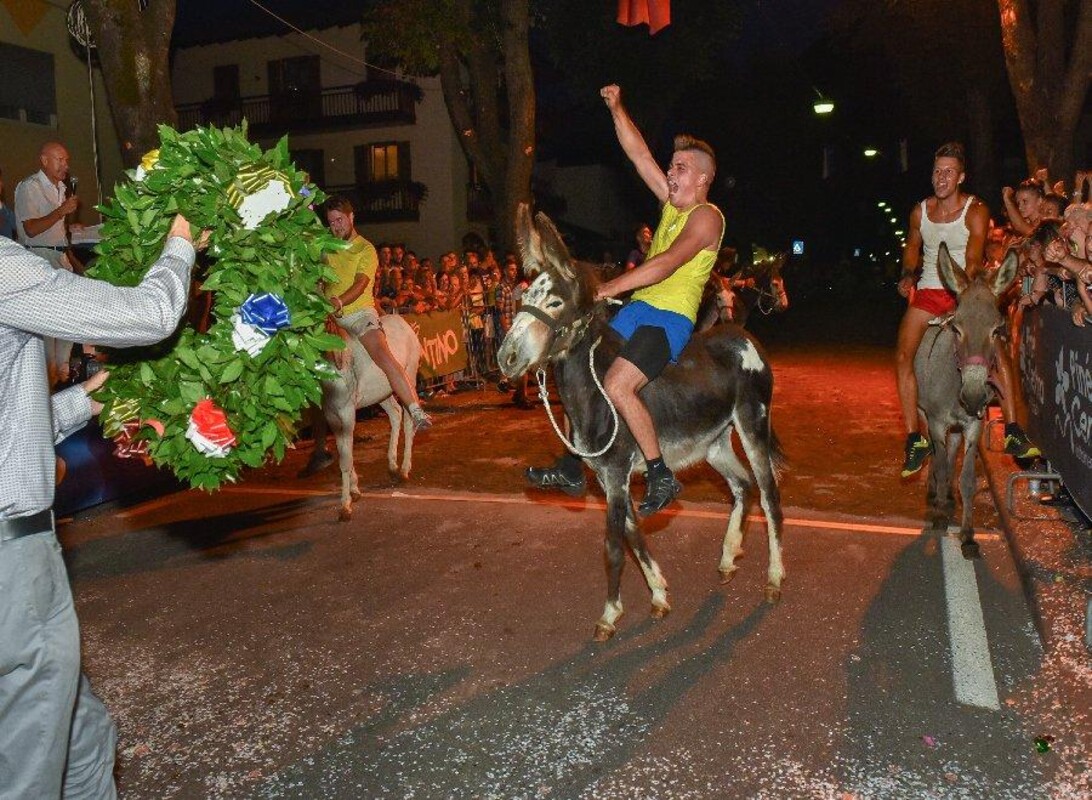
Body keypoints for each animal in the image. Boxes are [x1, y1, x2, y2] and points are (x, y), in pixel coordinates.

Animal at [311, 314, 422, 521]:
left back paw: (404, 470)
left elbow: (345, 459)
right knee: (395, 413)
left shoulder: (347, 412)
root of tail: (402, 321)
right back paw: (392, 466)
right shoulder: (331, 415)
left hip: (409, 377)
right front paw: (354, 491)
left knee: (409, 420)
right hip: (382, 393)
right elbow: (344, 453)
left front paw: (345, 507)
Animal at [498, 206, 786, 641]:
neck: (596, 388)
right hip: (714, 442)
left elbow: (614, 545)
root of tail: (744, 337)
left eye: (554, 301)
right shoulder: (605, 477)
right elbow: (634, 535)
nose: (506, 358)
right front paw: (659, 596)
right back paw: (727, 558)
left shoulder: (617, 473)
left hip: (753, 425)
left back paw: (773, 578)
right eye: (524, 296)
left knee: (769, 495)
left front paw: (608, 615)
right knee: (742, 486)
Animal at [914, 242, 1018, 558]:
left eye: (997, 330)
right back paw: (934, 492)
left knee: (950, 450)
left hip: (959, 427)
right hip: (924, 414)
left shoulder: (973, 426)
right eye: (957, 329)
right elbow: (940, 465)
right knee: (935, 452)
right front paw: (938, 517)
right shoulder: (936, 422)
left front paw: (968, 536)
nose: (972, 397)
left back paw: (946, 495)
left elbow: (968, 479)